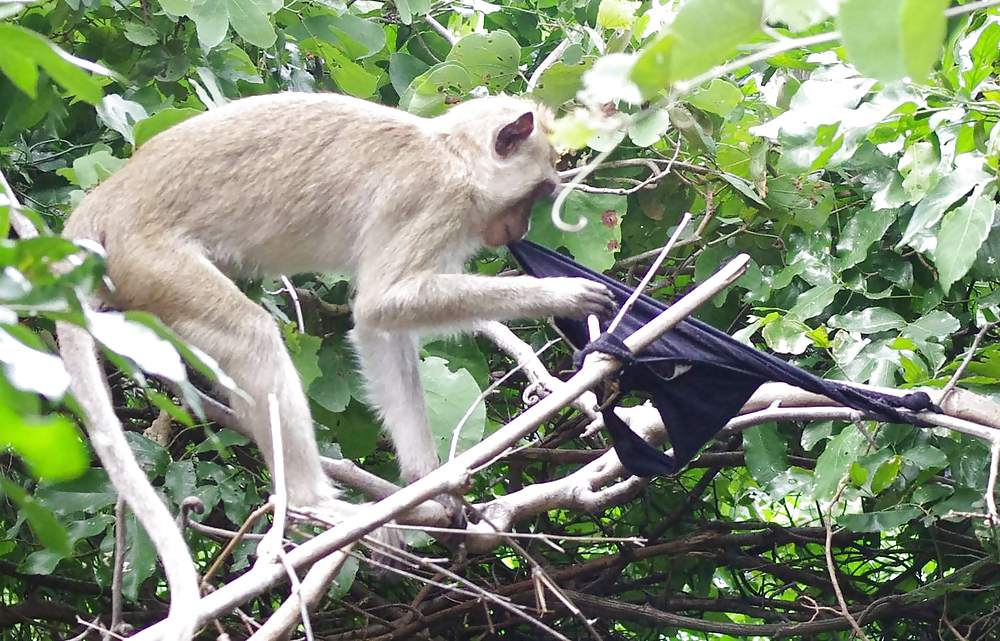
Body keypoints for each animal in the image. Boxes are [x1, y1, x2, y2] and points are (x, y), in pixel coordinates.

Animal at [58, 92, 616, 560]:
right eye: (534, 194)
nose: (519, 229)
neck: (452, 155)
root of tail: (106, 198)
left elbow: (378, 330)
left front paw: (425, 480)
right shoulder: (433, 200)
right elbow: (382, 303)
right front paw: (563, 293)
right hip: (151, 257)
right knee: (250, 336)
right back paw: (311, 503)